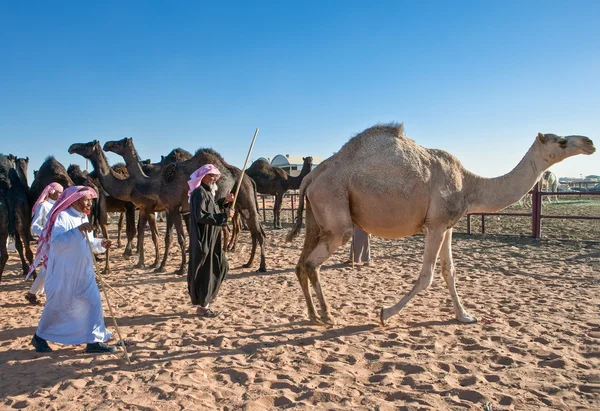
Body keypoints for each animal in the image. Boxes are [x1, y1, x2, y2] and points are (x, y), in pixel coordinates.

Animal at [68, 142, 164, 270]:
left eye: (85, 146)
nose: (71, 147)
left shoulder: (130, 207)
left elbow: (131, 230)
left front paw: (127, 252)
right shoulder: (129, 208)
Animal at [103, 138, 268, 274]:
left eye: (119, 142)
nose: (106, 144)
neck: (157, 183)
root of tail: (247, 179)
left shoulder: (173, 208)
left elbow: (181, 238)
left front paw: (180, 268)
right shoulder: (170, 208)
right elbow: (170, 237)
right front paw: (161, 266)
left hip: (246, 200)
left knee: (258, 233)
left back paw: (261, 266)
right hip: (239, 203)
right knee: (254, 232)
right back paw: (247, 263)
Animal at [286, 124, 596, 326]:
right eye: (561, 141)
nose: (590, 142)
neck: (470, 185)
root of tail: (311, 177)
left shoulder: (448, 226)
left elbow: (450, 271)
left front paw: (465, 316)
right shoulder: (434, 226)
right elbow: (428, 276)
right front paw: (385, 313)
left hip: (317, 218)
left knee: (300, 263)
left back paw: (313, 316)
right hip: (336, 212)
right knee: (314, 262)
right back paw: (327, 316)